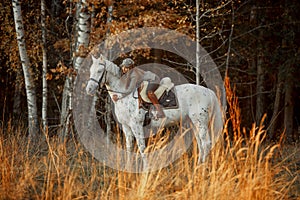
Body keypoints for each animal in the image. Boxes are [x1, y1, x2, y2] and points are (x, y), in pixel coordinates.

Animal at [85, 54, 224, 170]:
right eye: (91, 70)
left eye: (99, 71)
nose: (89, 89)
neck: (124, 96)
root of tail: (209, 92)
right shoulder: (126, 126)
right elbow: (129, 147)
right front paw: (128, 168)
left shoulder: (137, 125)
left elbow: (142, 148)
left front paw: (146, 170)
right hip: (193, 122)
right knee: (201, 144)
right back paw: (198, 166)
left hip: (201, 123)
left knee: (206, 143)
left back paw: (203, 169)